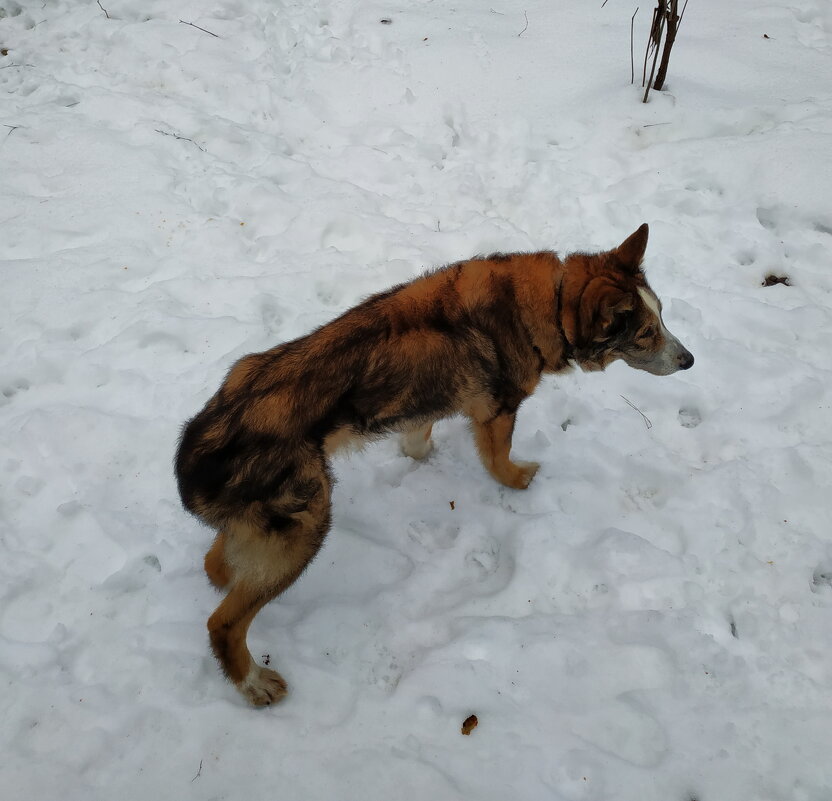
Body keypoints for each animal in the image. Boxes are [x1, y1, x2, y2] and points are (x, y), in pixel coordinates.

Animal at [177, 222, 696, 704]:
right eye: (646, 334)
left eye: (663, 317)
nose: (690, 360)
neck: (554, 299)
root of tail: (200, 442)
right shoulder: (498, 412)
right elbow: (499, 459)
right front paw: (519, 480)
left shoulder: (424, 403)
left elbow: (418, 439)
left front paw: (423, 457)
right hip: (306, 526)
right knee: (224, 622)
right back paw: (252, 682)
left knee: (216, 563)